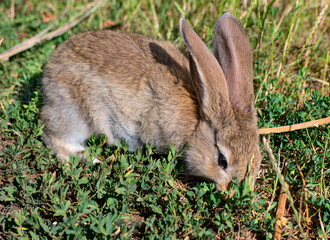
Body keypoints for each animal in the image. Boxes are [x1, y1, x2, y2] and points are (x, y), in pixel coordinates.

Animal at [41, 13, 262, 190]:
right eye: (222, 161)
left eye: (257, 160)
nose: (230, 191)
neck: (198, 121)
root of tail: (49, 70)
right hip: (77, 114)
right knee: (54, 137)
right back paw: (87, 158)